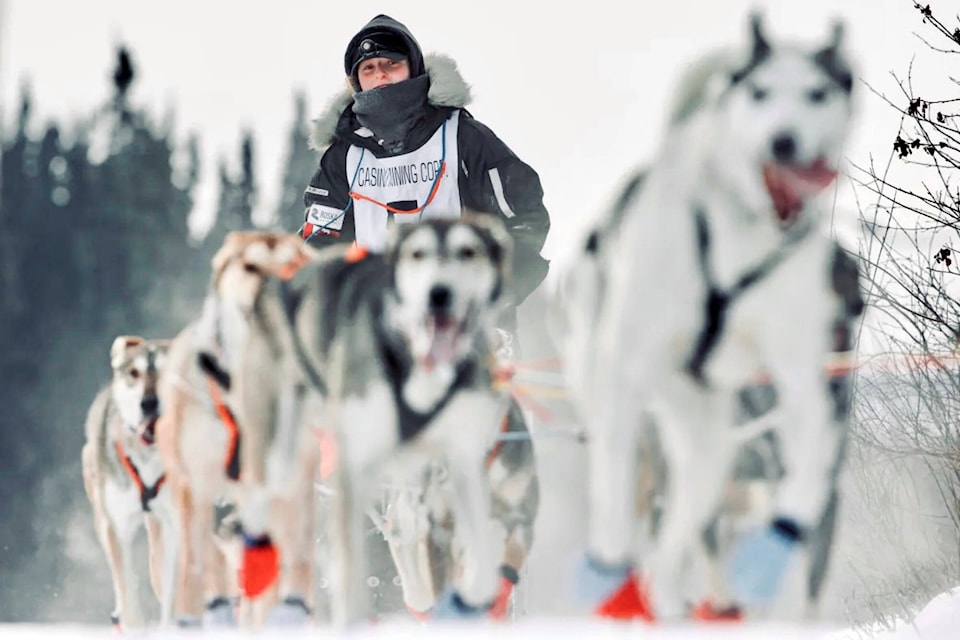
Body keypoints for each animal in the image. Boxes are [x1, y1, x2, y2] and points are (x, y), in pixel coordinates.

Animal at [556, 15, 864, 624]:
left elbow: (799, 508)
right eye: (760, 92)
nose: (783, 140)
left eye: (818, 94)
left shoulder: (804, 393)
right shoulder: (627, 372)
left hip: (706, 449)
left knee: (677, 543)